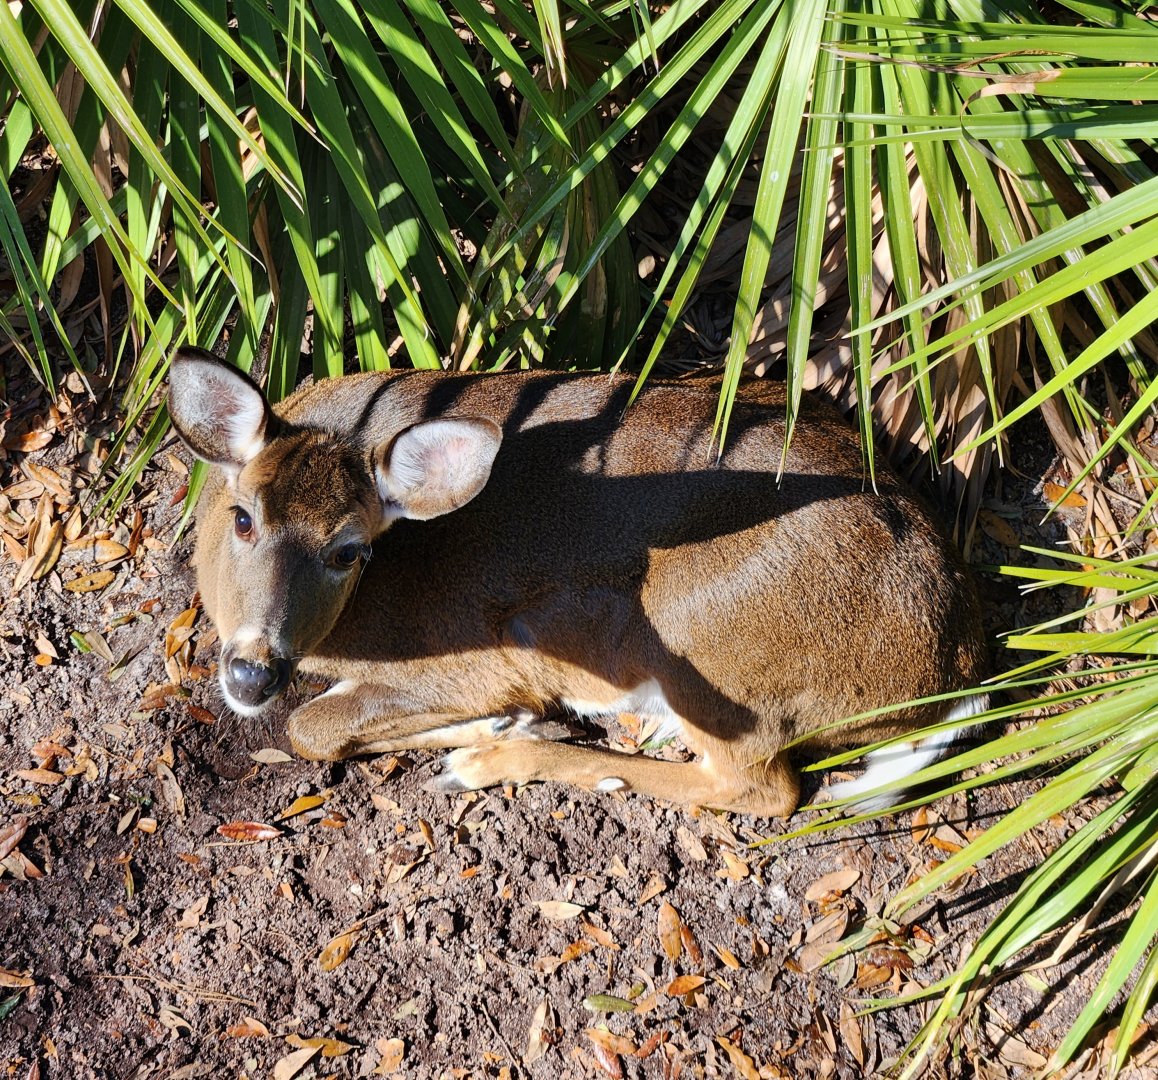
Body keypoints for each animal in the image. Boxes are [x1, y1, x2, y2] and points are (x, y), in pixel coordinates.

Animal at [167, 347, 987, 817]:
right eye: (244, 518)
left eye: (350, 550)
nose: (253, 671)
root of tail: (955, 662)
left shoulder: (476, 656)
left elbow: (312, 728)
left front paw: (500, 725)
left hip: (700, 639)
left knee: (764, 789)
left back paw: (484, 762)